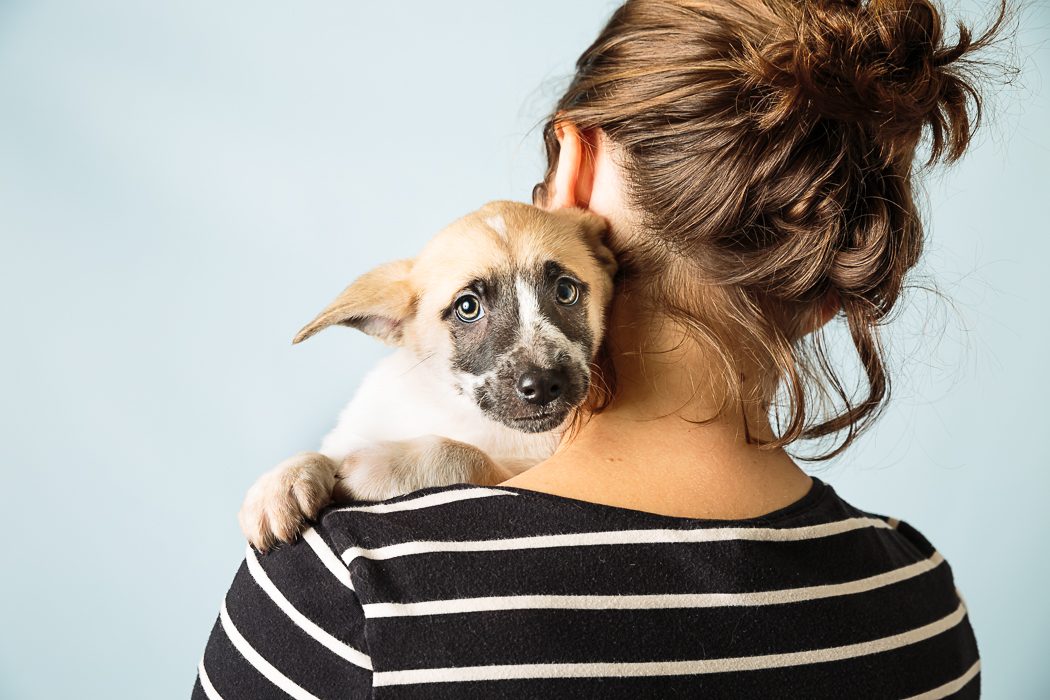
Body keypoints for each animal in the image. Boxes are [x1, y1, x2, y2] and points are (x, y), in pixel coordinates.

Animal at [238, 199, 613, 549]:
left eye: (565, 292)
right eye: (468, 307)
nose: (543, 385)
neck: (456, 408)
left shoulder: (528, 472)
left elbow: (468, 456)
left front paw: (380, 466)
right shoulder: (356, 427)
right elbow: (326, 450)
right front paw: (283, 482)